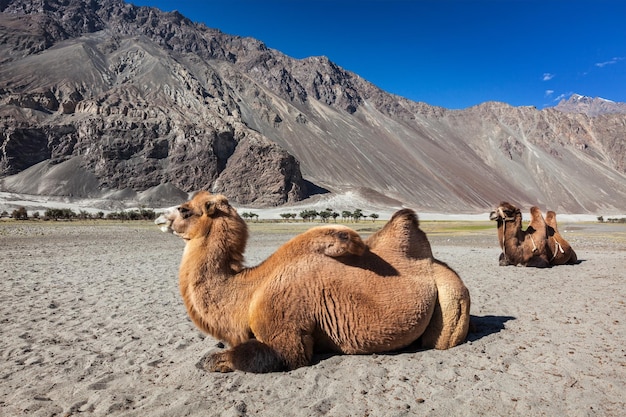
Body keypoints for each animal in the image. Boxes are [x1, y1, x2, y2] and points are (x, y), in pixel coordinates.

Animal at [156, 190, 468, 372]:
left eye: (185, 210)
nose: (159, 218)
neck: (247, 292)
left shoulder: (286, 336)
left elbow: (249, 357)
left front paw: (209, 359)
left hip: (452, 300)